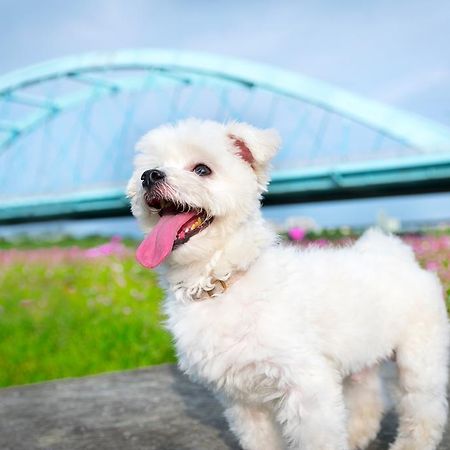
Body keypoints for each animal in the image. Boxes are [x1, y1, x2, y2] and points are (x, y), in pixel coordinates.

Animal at [128, 118, 448, 448]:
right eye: (149, 168)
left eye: (202, 169)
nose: (149, 176)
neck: (220, 281)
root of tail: (396, 253)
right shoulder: (243, 400)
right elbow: (260, 439)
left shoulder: (307, 387)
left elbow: (319, 438)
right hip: (362, 353)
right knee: (368, 396)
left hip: (419, 355)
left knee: (423, 406)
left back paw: (412, 441)